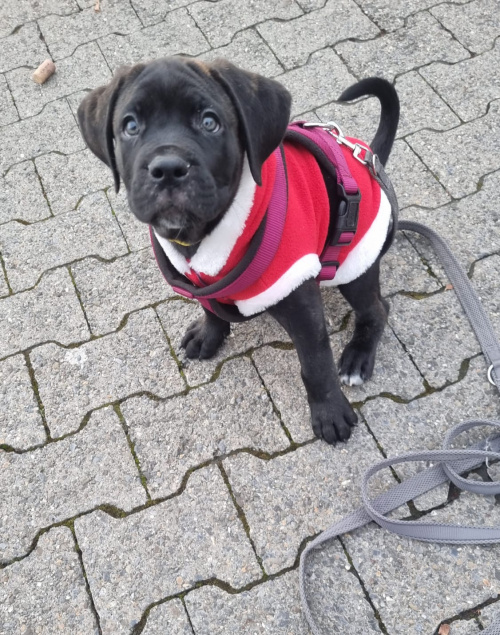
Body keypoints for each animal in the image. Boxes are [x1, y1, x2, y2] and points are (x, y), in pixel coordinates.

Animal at [78, 58, 398, 448]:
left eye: (209, 122)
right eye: (131, 126)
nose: (167, 168)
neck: (200, 237)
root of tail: (370, 158)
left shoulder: (299, 299)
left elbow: (315, 362)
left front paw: (329, 412)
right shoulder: (199, 278)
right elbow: (209, 307)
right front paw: (208, 334)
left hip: (355, 262)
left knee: (376, 308)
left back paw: (357, 358)